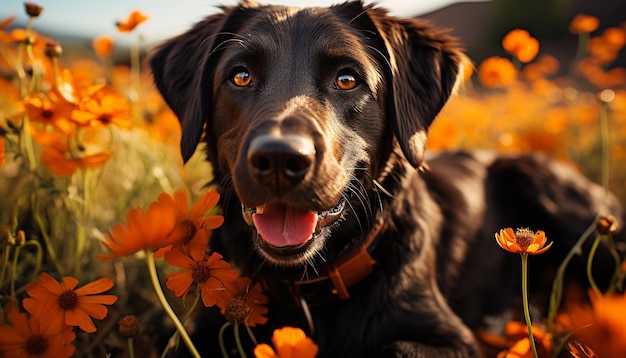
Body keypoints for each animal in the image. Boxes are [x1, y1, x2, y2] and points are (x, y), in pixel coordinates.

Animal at [150, 1, 620, 356]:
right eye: (241, 76)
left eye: (347, 79)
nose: (281, 159)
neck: (308, 291)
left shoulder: (453, 339)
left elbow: (394, 347)